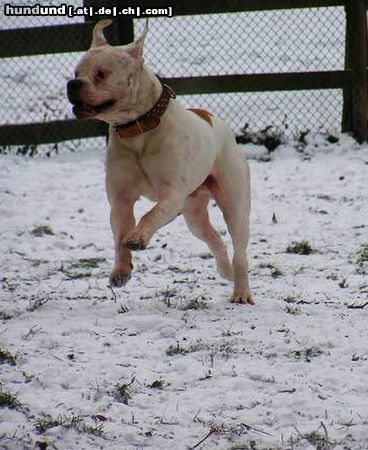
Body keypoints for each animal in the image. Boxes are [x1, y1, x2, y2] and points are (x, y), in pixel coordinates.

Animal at [67, 19, 253, 304]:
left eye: (101, 73)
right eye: (76, 71)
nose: (73, 84)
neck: (138, 129)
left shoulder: (172, 194)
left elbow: (150, 214)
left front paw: (137, 237)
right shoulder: (120, 199)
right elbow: (119, 233)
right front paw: (121, 271)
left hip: (235, 204)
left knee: (239, 248)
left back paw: (241, 291)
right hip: (193, 214)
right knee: (213, 238)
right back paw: (225, 271)